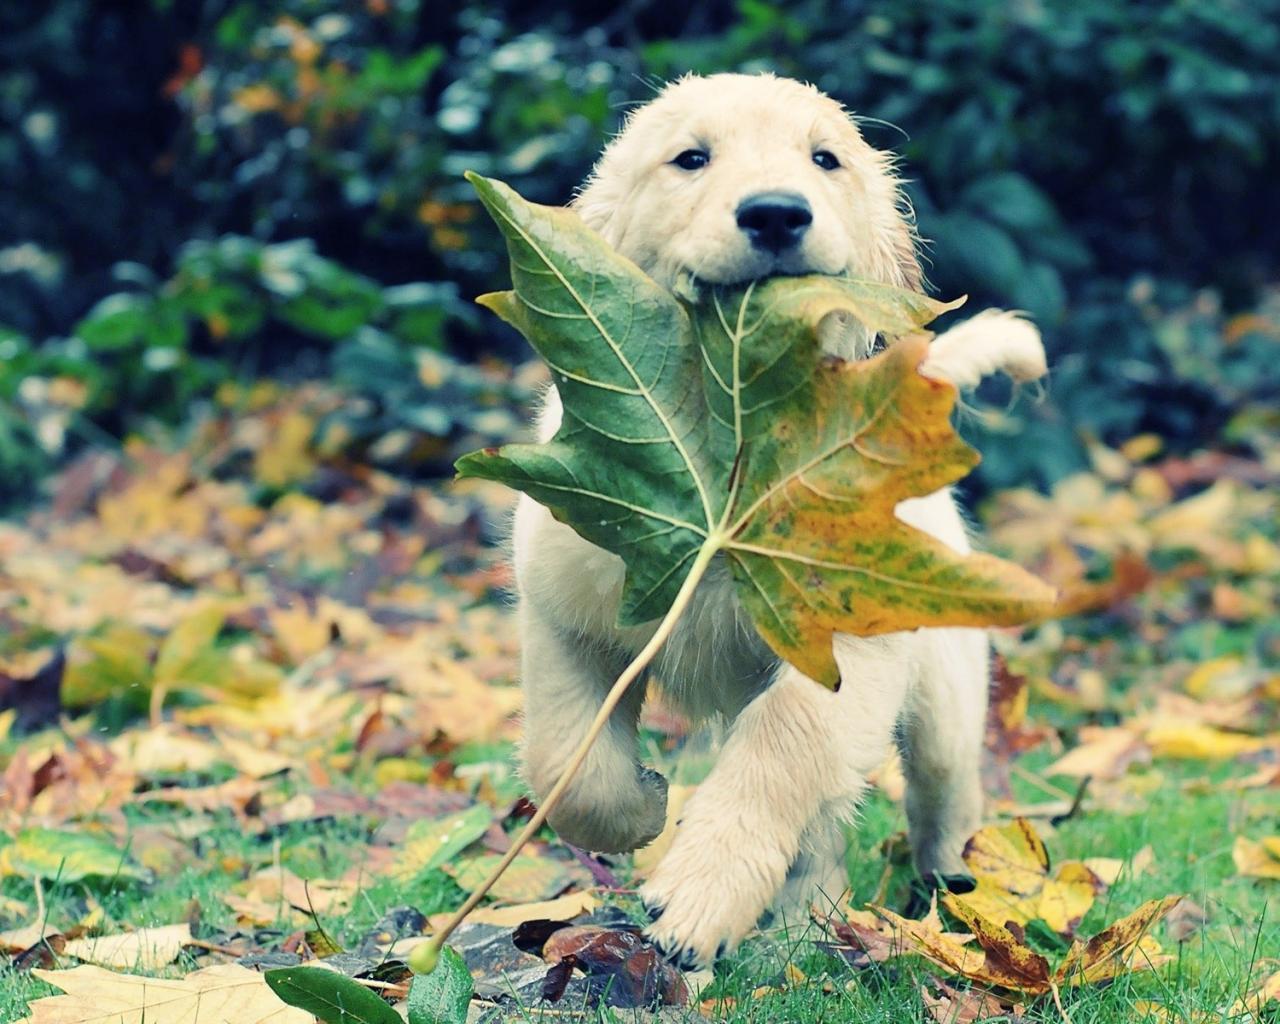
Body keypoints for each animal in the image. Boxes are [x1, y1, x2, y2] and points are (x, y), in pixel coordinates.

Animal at [504, 72, 1044, 967]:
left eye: (825, 159)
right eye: (691, 158)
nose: (776, 214)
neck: (731, 440)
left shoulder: (847, 647)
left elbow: (783, 743)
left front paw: (700, 891)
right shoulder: (565, 612)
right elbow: (566, 762)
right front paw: (641, 808)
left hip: (945, 689)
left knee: (939, 796)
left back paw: (946, 894)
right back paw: (802, 922)